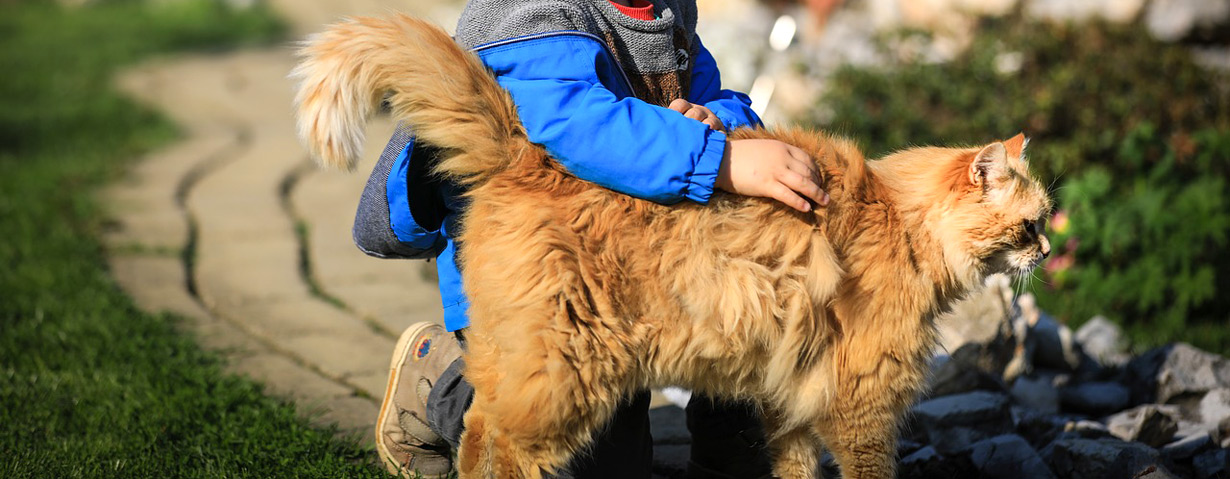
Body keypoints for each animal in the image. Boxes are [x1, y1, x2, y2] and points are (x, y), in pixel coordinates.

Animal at [292, 14, 1052, 477]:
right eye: (1030, 225)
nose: (1047, 251)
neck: (898, 221)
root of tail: (526, 153)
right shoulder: (862, 403)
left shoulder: (792, 401)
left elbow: (795, 466)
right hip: (566, 375)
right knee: (495, 440)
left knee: (475, 425)